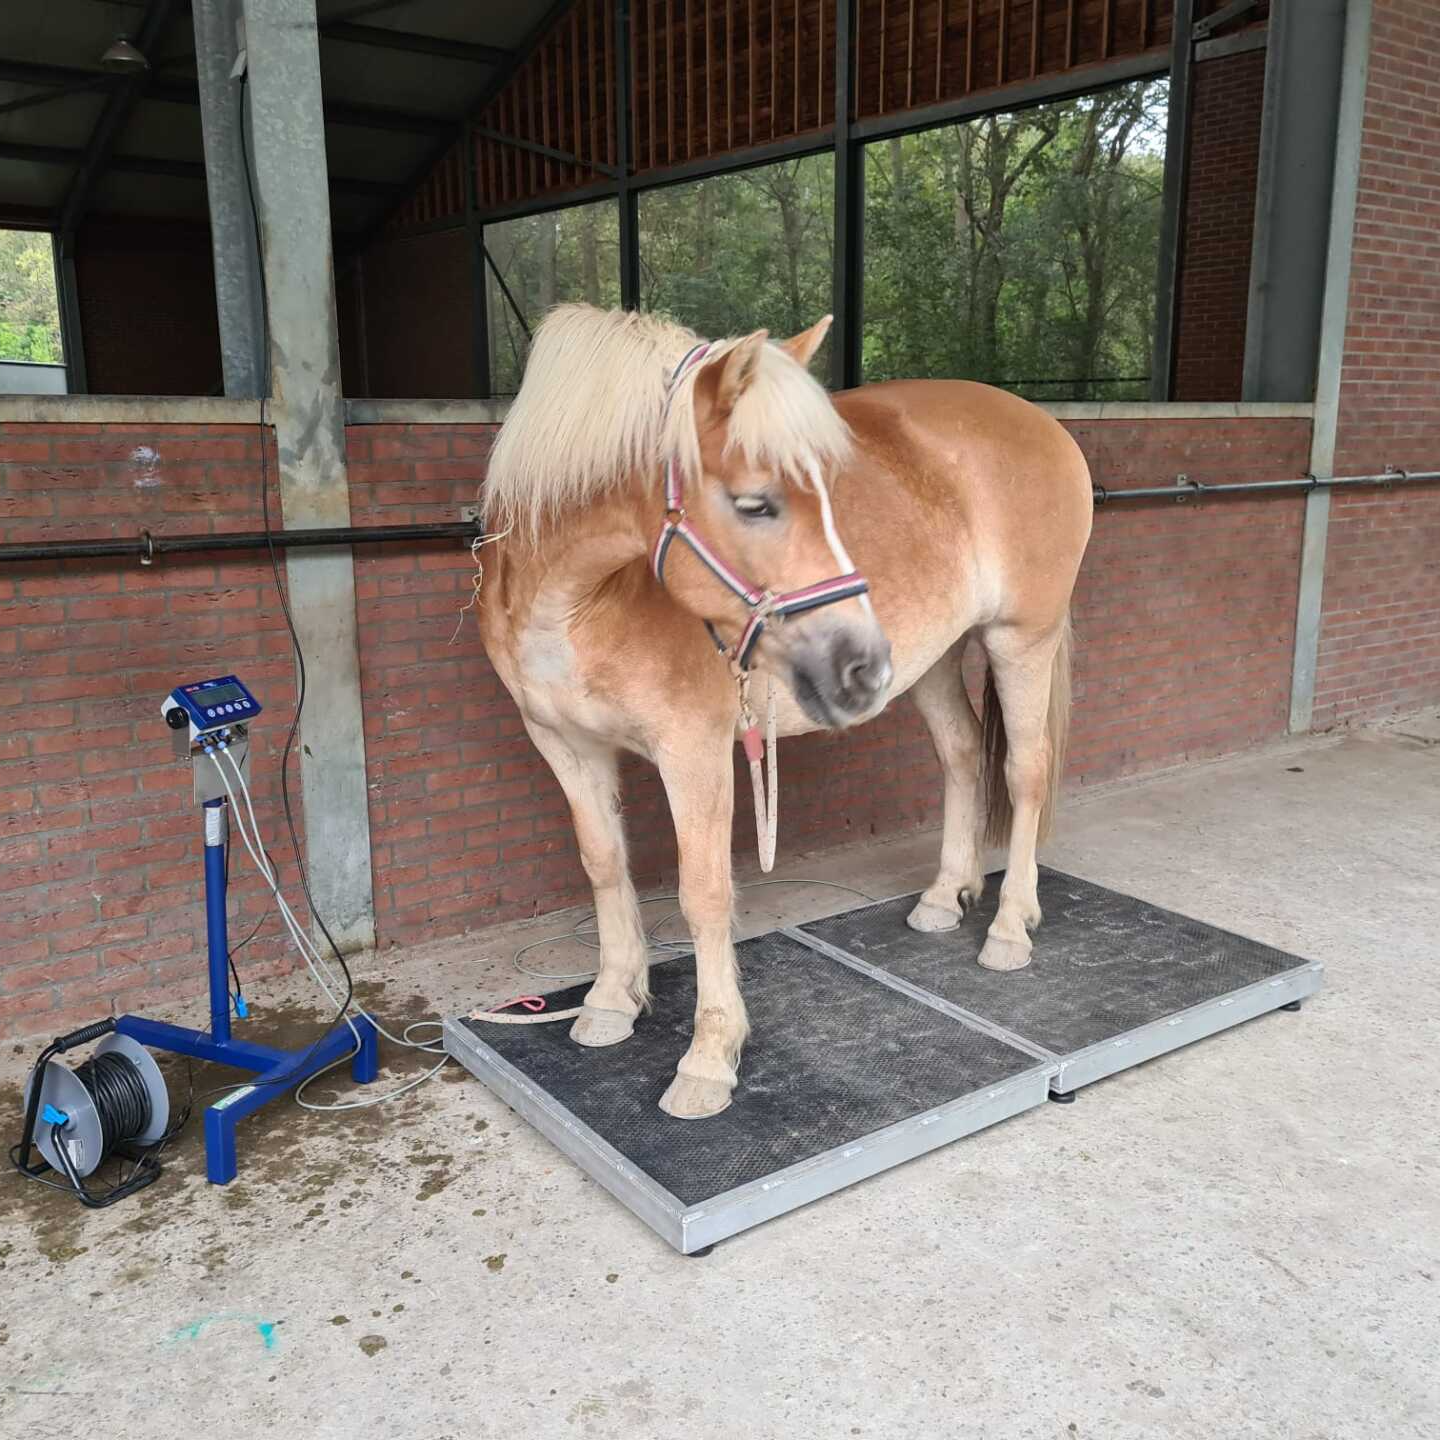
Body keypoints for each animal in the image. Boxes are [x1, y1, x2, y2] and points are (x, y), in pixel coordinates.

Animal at [477, 304, 1093, 1120]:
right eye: (755, 503)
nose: (859, 664)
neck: (578, 596)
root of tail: (1046, 426)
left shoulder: (694, 750)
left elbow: (704, 894)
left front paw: (709, 1058)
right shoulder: (563, 743)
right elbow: (604, 866)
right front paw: (612, 1001)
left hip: (1020, 638)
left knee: (1023, 773)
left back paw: (1009, 929)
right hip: (931, 657)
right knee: (963, 756)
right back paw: (943, 898)